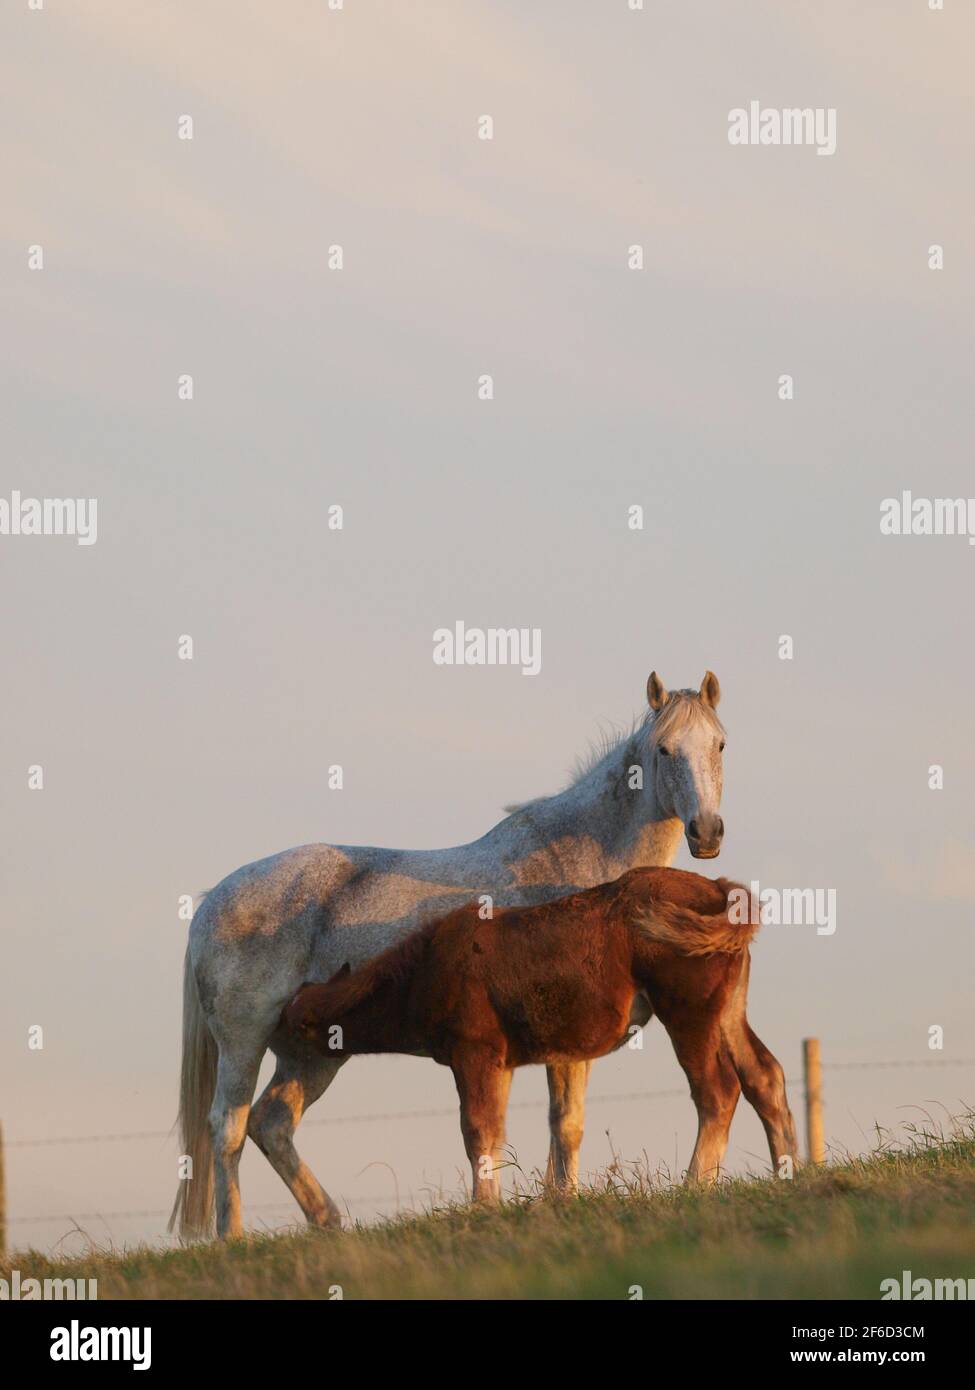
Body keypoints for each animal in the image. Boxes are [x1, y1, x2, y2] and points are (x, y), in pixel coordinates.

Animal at [278, 867, 795, 1195]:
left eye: (296, 1027)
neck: (425, 967)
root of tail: (720, 889)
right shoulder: (502, 1062)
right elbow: (497, 1131)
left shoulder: (474, 1052)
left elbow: (476, 1129)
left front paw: (483, 1206)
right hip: (728, 1012)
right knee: (764, 1076)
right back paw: (789, 1172)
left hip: (688, 1014)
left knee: (717, 1090)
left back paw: (694, 1185)